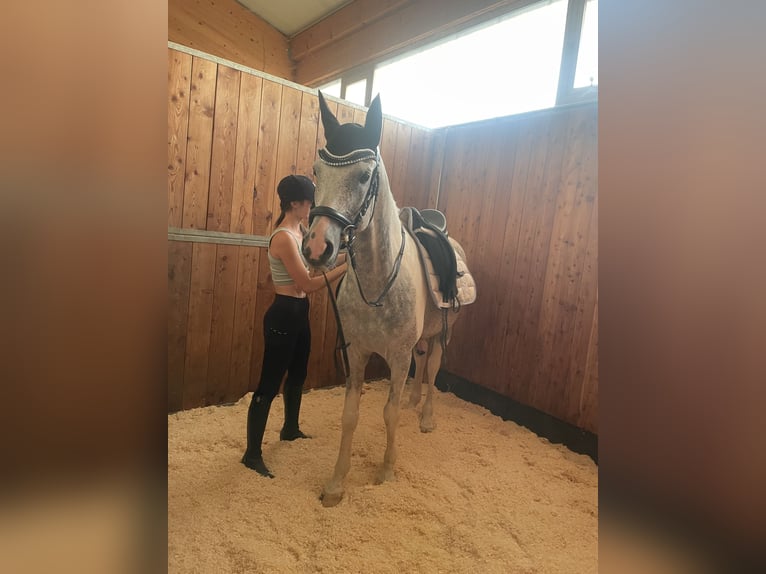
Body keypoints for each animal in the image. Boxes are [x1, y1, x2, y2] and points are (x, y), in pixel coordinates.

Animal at [303, 92, 470, 507]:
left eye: (364, 176)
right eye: (317, 171)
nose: (316, 249)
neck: (378, 285)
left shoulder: (397, 356)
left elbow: (388, 414)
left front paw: (387, 472)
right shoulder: (357, 352)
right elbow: (351, 415)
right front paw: (336, 484)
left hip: (444, 332)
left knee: (434, 367)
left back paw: (426, 416)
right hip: (421, 339)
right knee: (423, 364)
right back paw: (414, 401)